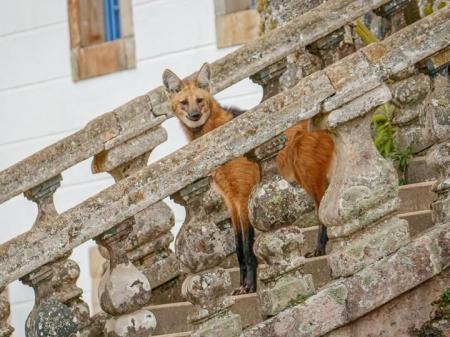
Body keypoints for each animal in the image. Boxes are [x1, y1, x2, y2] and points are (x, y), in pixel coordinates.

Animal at [163, 62, 334, 292]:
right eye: (184, 102)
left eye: (199, 100)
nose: (195, 115)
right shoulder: (230, 199)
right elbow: (237, 246)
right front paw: (242, 285)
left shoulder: (243, 195)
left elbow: (247, 245)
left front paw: (250, 285)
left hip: (306, 172)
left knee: (322, 205)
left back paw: (320, 248)